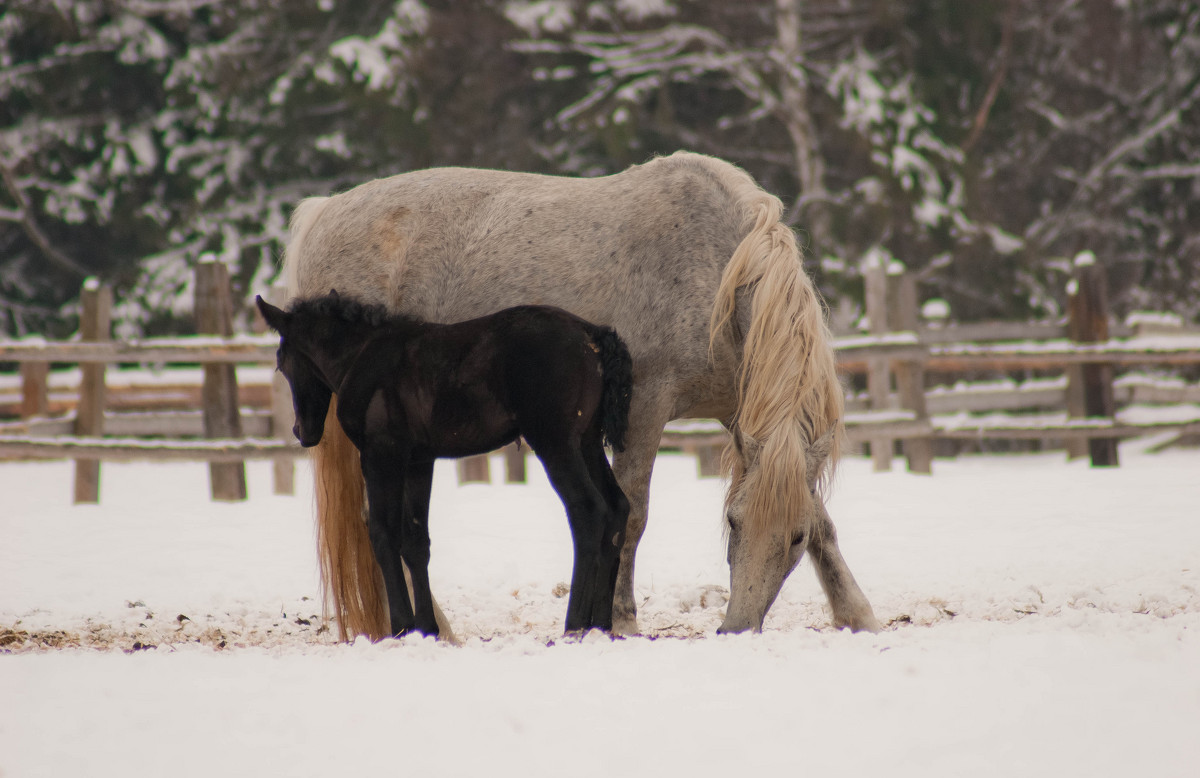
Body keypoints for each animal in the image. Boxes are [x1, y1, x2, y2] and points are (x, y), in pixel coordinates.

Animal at [283, 150, 883, 638]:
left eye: (795, 539)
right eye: (733, 522)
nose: (736, 629)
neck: (719, 272)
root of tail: (322, 212)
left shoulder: (746, 419)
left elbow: (825, 523)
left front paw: (857, 615)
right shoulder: (644, 411)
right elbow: (633, 513)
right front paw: (620, 619)